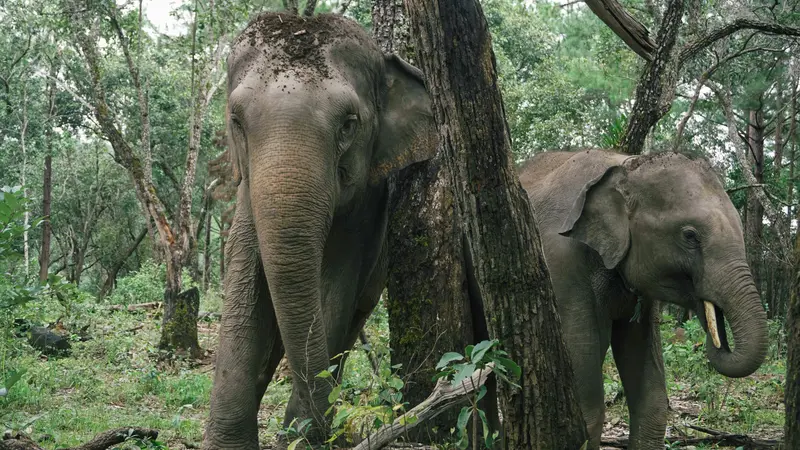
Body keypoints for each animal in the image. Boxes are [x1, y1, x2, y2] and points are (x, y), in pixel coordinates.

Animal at [203, 12, 436, 449]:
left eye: (348, 124)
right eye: (236, 121)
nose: (330, 427)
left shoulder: (365, 208)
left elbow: (333, 290)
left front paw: (304, 438)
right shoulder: (246, 194)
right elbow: (245, 286)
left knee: (350, 323)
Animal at [517, 149, 768, 449]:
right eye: (690, 236)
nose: (716, 335)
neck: (623, 165)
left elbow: (651, 397)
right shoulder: (561, 267)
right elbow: (585, 407)